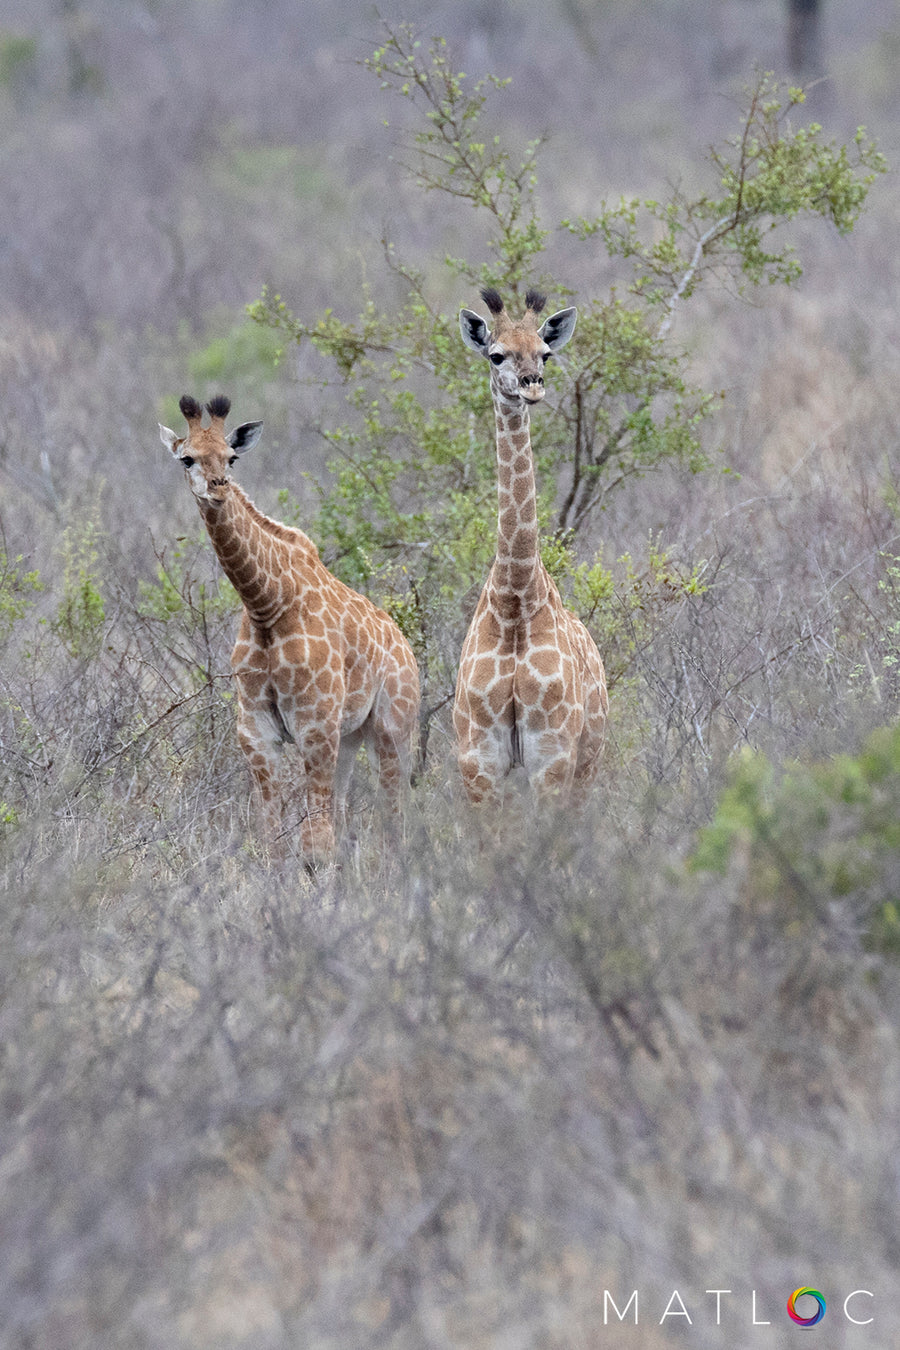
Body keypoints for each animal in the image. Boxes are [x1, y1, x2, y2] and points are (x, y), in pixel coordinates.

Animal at [161, 394, 423, 869]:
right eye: (186, 458)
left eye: (231, 457)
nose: (218, 487)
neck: (266, 605)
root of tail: (405, 645)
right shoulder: (257, 732)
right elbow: (274, 840)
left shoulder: (314, 726)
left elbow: (314, 845)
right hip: (350, 737)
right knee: (346, 812)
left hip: (393, 727)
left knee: (394, 816)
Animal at [453, 287, 609, 799]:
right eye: (496, 354)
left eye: (545, 353)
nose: (532, 385)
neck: (515, 601)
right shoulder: (478, 760)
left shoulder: (553, 757)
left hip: (587, 764)